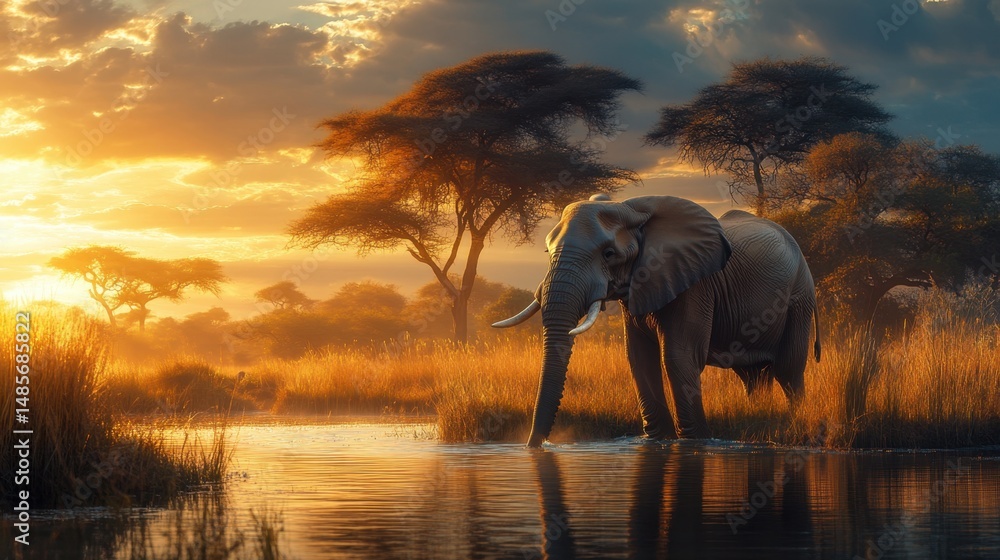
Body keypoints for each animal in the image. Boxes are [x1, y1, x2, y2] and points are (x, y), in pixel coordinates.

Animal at [493, 194, 820, 447]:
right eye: (547, 252)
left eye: (609, 254)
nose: (536, 445)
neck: (631, 208)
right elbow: (638, 357)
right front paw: (658, 441)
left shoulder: (695, 284)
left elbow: (678, 356)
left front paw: (696, 442)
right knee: (753, 376)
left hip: (799, 296)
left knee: (789, 370)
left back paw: (796, 421)